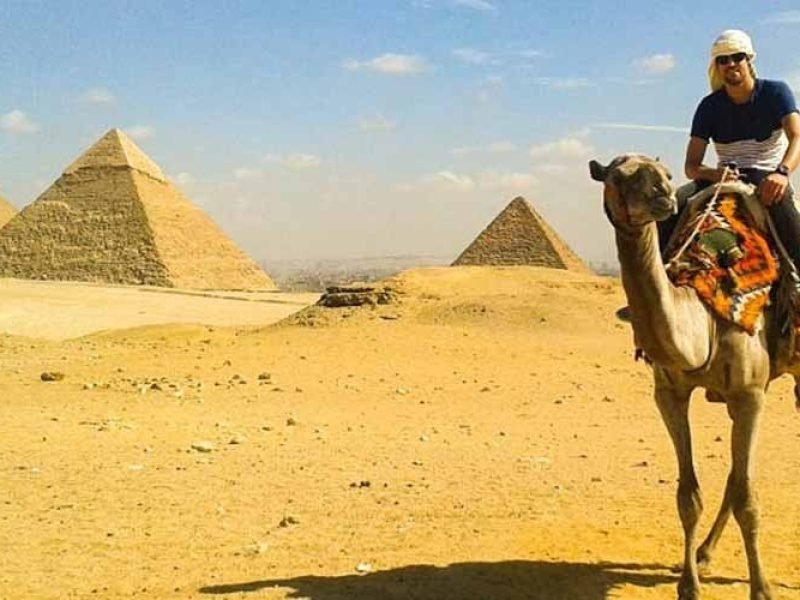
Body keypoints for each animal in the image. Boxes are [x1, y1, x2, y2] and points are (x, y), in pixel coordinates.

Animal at [589, 153, 797, 600]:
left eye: (666, 175)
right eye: (618, 176)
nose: (663, 196)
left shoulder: (750, 394)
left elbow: (749, 500)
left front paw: (762, 588)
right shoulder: (669, 394)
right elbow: (689, 496)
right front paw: (688, 584)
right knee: (734, 477)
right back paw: (703, 552)